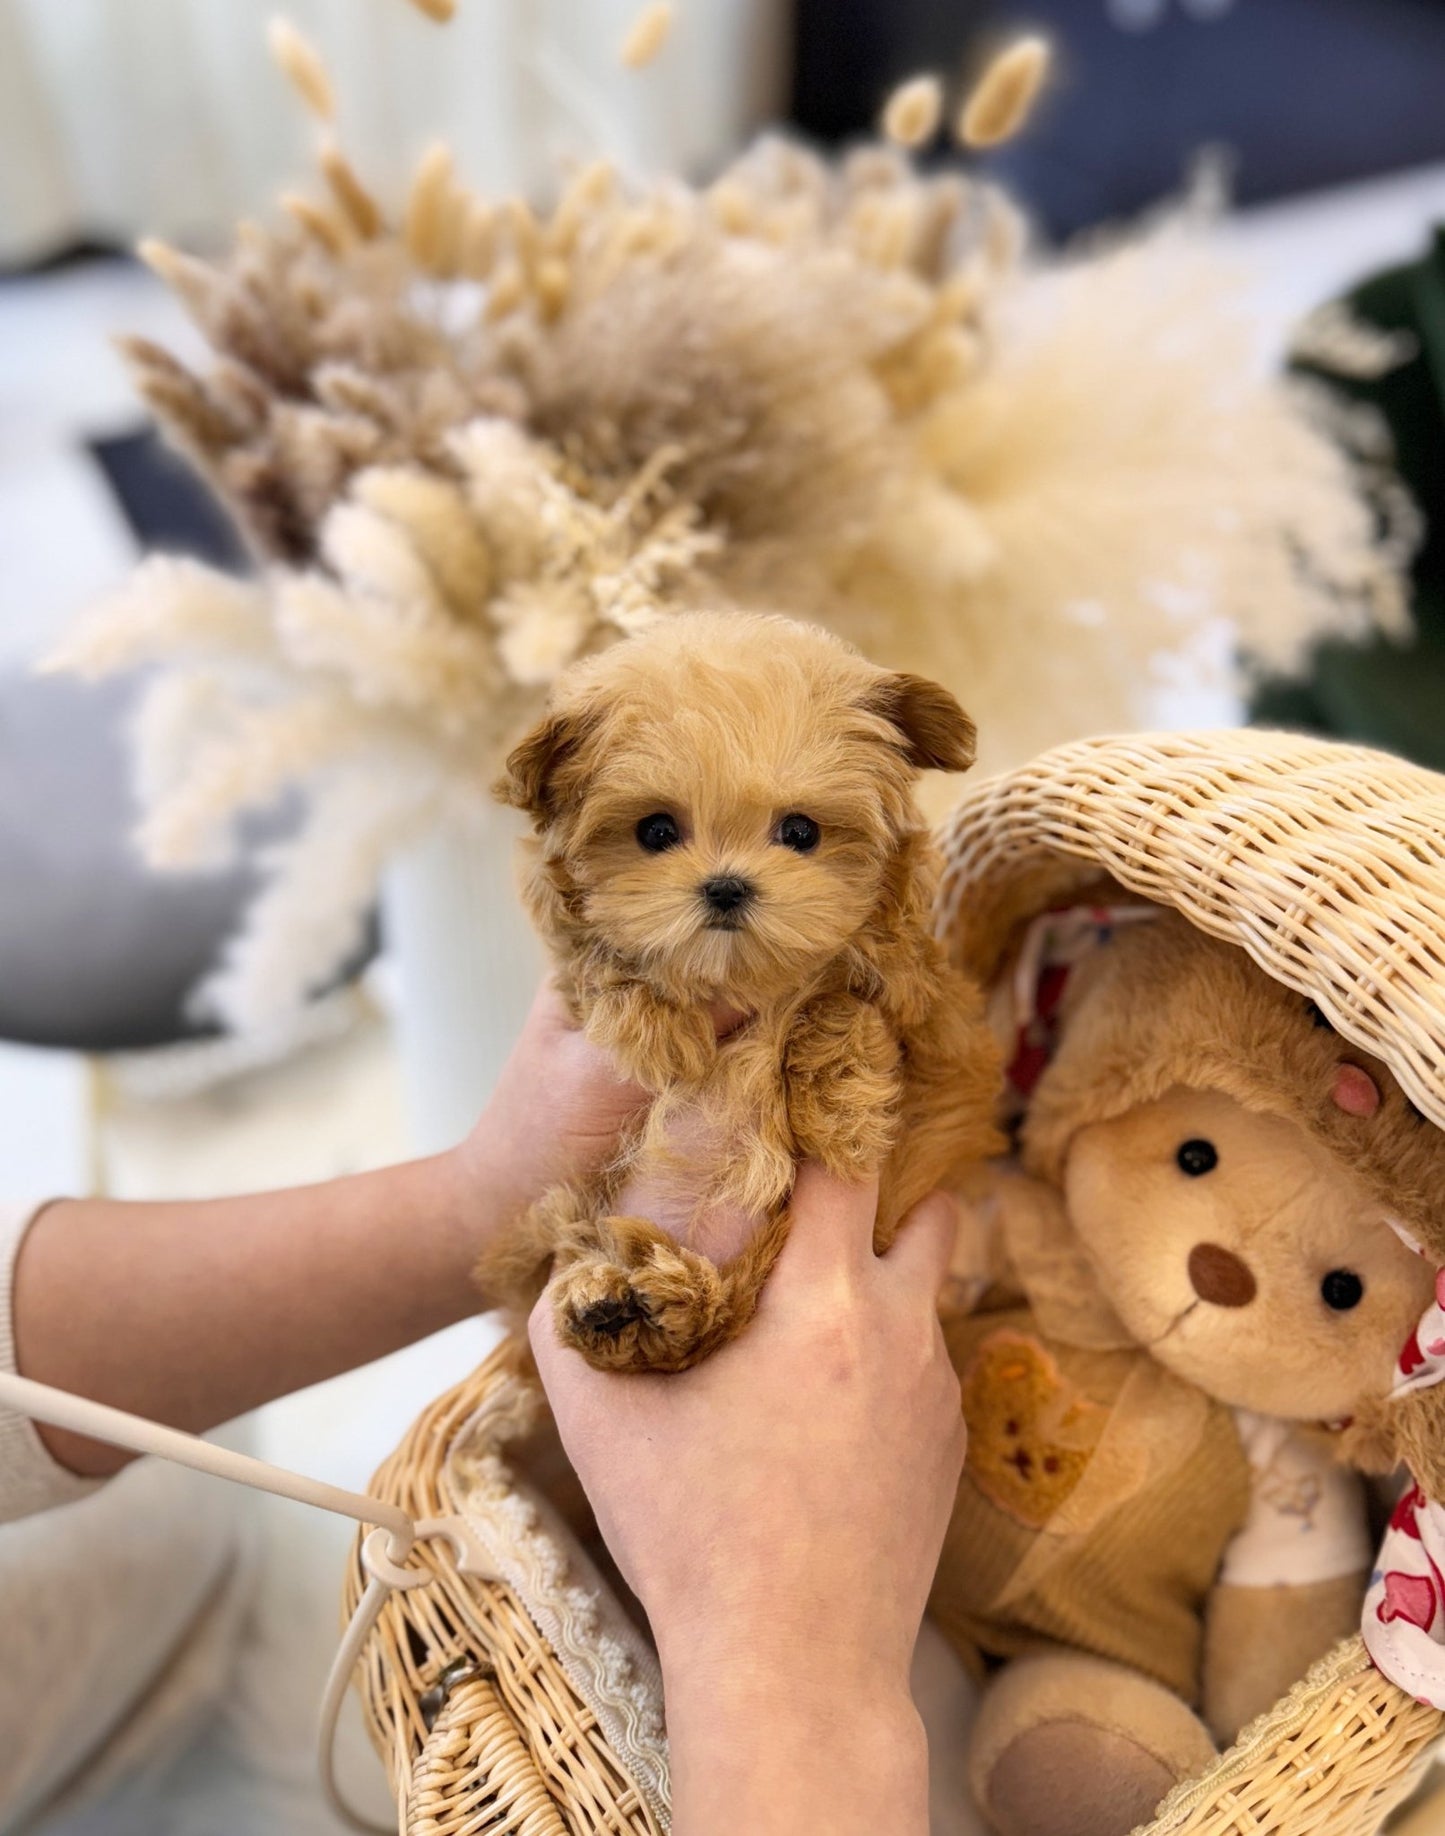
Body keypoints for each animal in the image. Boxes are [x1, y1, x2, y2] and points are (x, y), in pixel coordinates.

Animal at [481, 609, 998, 1373]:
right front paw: (659, 1028)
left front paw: (843, 1113)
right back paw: (616, 1301)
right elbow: (600, 962)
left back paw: (651, 1303)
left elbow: (843, 1002)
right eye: (655, 830)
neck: (744, 979)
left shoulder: (937, 1026)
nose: (725, 886)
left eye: (801, 831)